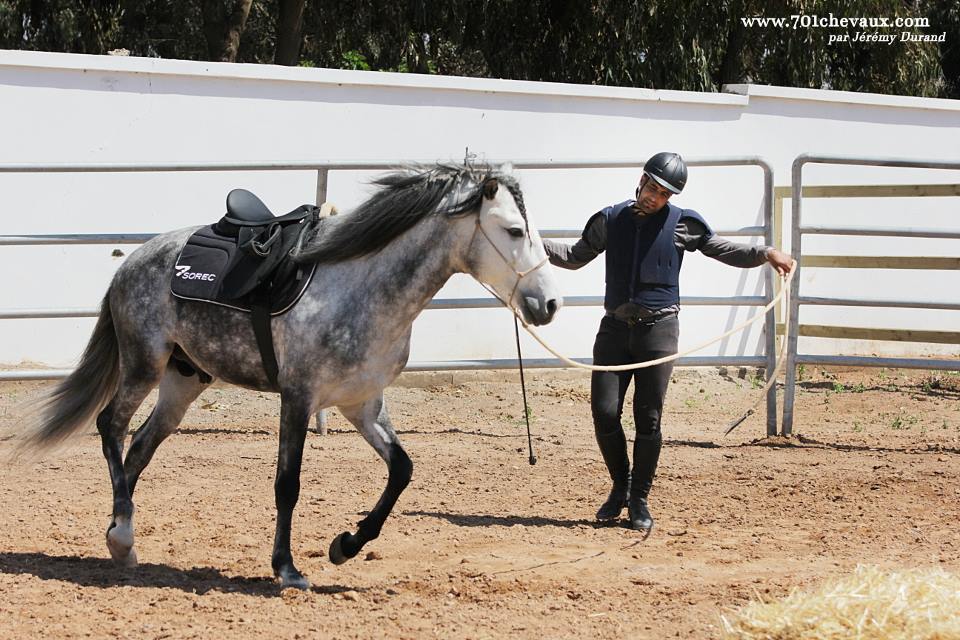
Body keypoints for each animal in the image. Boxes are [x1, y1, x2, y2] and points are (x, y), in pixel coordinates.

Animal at [20, 165, 564, 592]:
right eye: (513, 231)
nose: (549, 304)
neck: (360, 288)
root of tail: (132, 261)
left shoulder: (363, 403)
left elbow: (402, 470)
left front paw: (345, 545)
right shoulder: (298, 398)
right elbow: (288, 484)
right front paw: (287, 568)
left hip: (184, 380)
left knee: (139, 448)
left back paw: (120, 536)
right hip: (143, 364)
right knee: (111, 427)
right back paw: (123, 535)